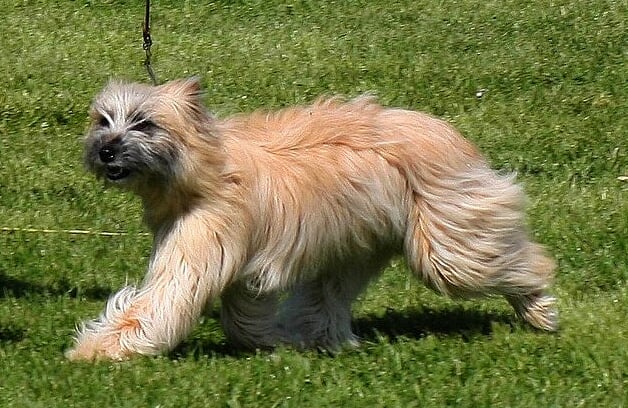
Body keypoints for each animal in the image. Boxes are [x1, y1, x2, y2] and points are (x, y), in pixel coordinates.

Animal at [66, 77, 556, 360]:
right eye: (103, 120)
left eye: (144, 123)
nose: (105, 151)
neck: (202, 164)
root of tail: (443, 130)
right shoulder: (239, 262)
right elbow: (243, 317)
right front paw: (275, 341)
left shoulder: (204, 239)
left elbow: (164, 298)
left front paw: (98, 350)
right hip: (354, 242)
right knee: (326, 297)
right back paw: (324, 340)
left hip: (448, 241)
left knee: (510, 264)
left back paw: (539, 308)